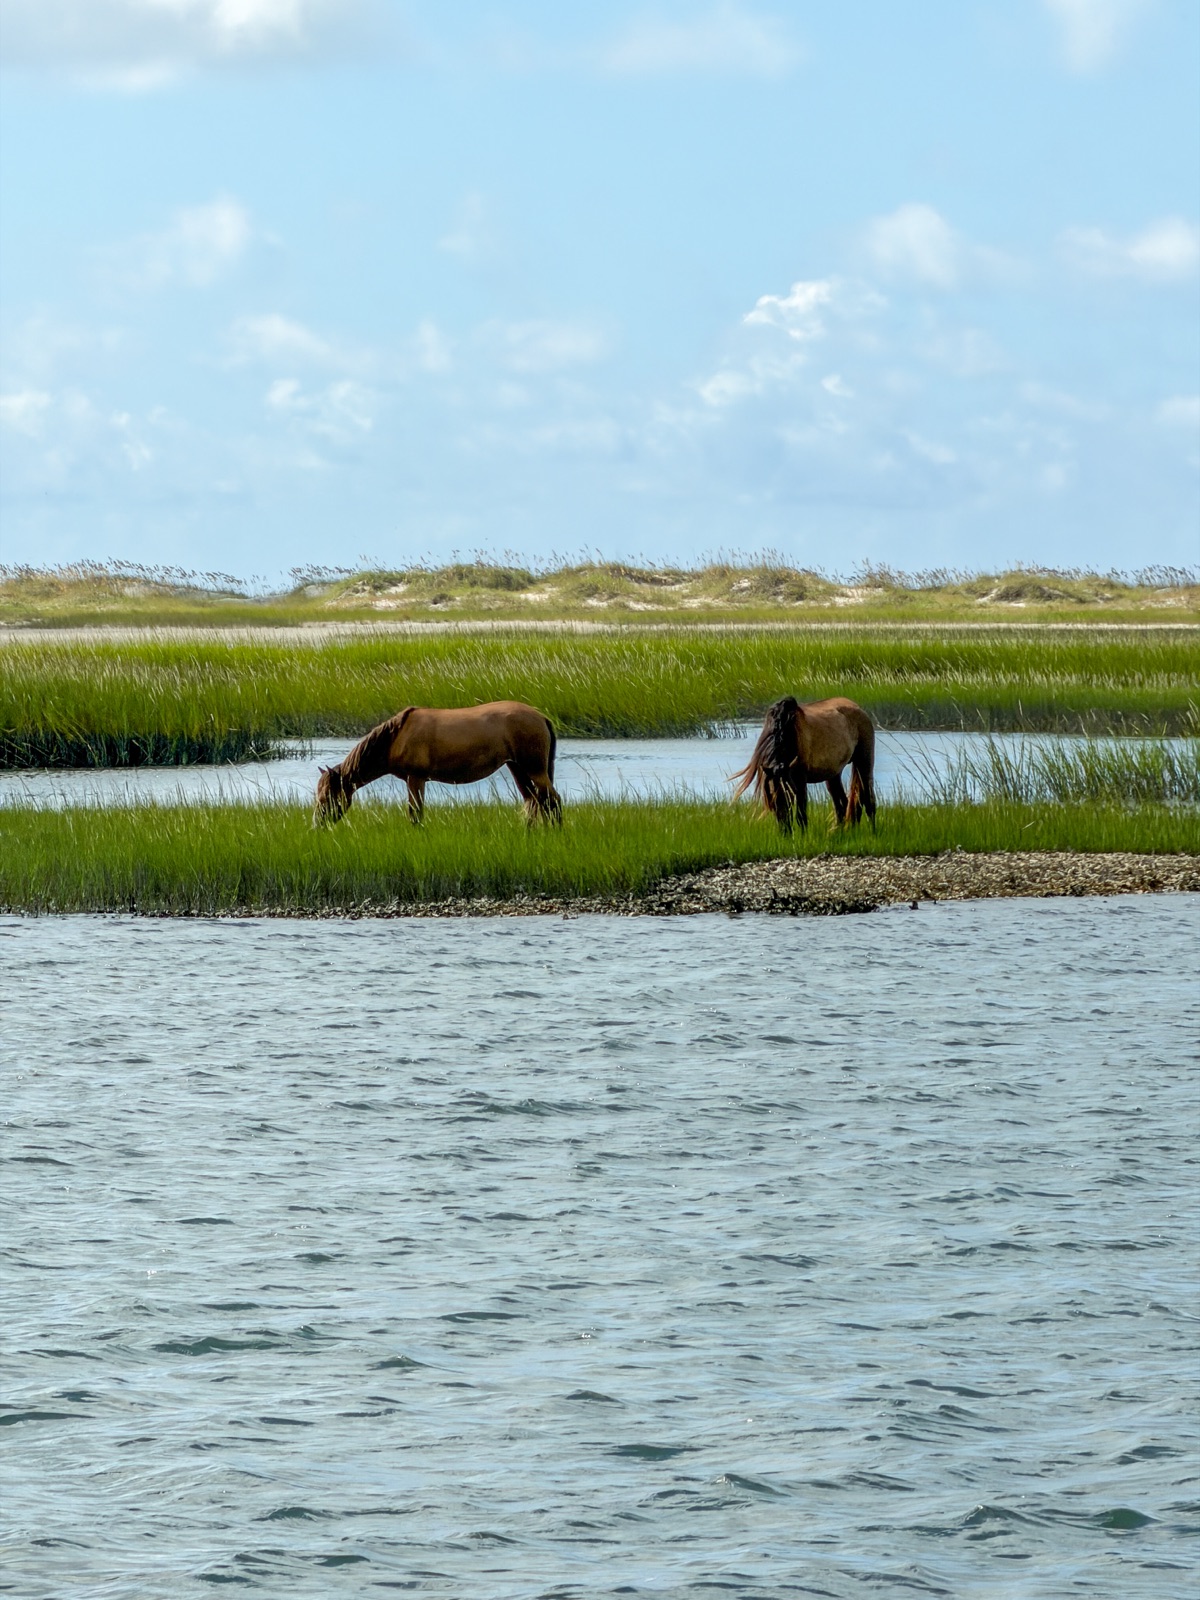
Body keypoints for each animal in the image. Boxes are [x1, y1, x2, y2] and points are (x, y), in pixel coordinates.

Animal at [313, 702, 563, 827]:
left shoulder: (415, 779)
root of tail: (541, 717)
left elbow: (415, 814)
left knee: (553, 801)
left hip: (534, 769)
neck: (396, 737)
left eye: (327, 797)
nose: (318, 824)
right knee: (534, 802)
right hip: (517, 768)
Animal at [732, 695, 877, 833]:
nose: (785, 831)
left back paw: (873, 831)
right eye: (773, 798)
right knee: (842, 804)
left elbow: (801, 815)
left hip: (864, 763)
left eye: (789, 796)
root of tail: (859, 709)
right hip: (833, 774)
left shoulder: (800, 779)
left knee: (868, 800)